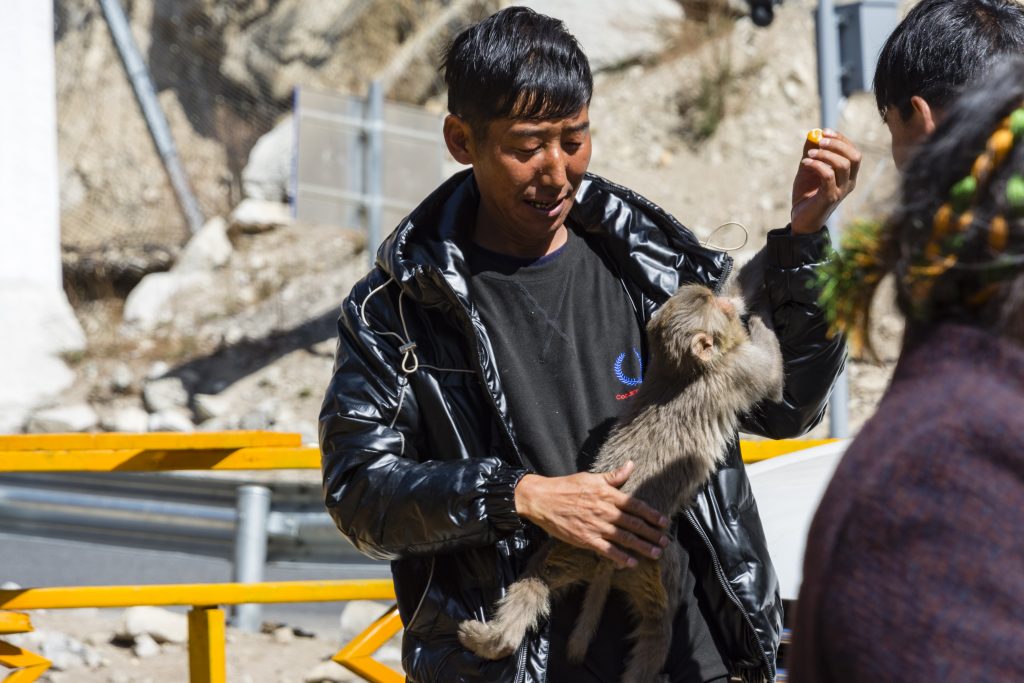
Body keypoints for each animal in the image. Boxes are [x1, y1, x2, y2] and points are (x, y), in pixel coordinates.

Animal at [456, 282, 782, 683]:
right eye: (711, 303)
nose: (719, 297)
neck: (681, 370)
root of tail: (604, 566)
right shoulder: (737, 369)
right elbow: (772, 376)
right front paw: (761, 308)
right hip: (655, 562)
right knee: (658, 628)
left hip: (569, 551)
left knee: (533, 583)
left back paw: (492, 638)